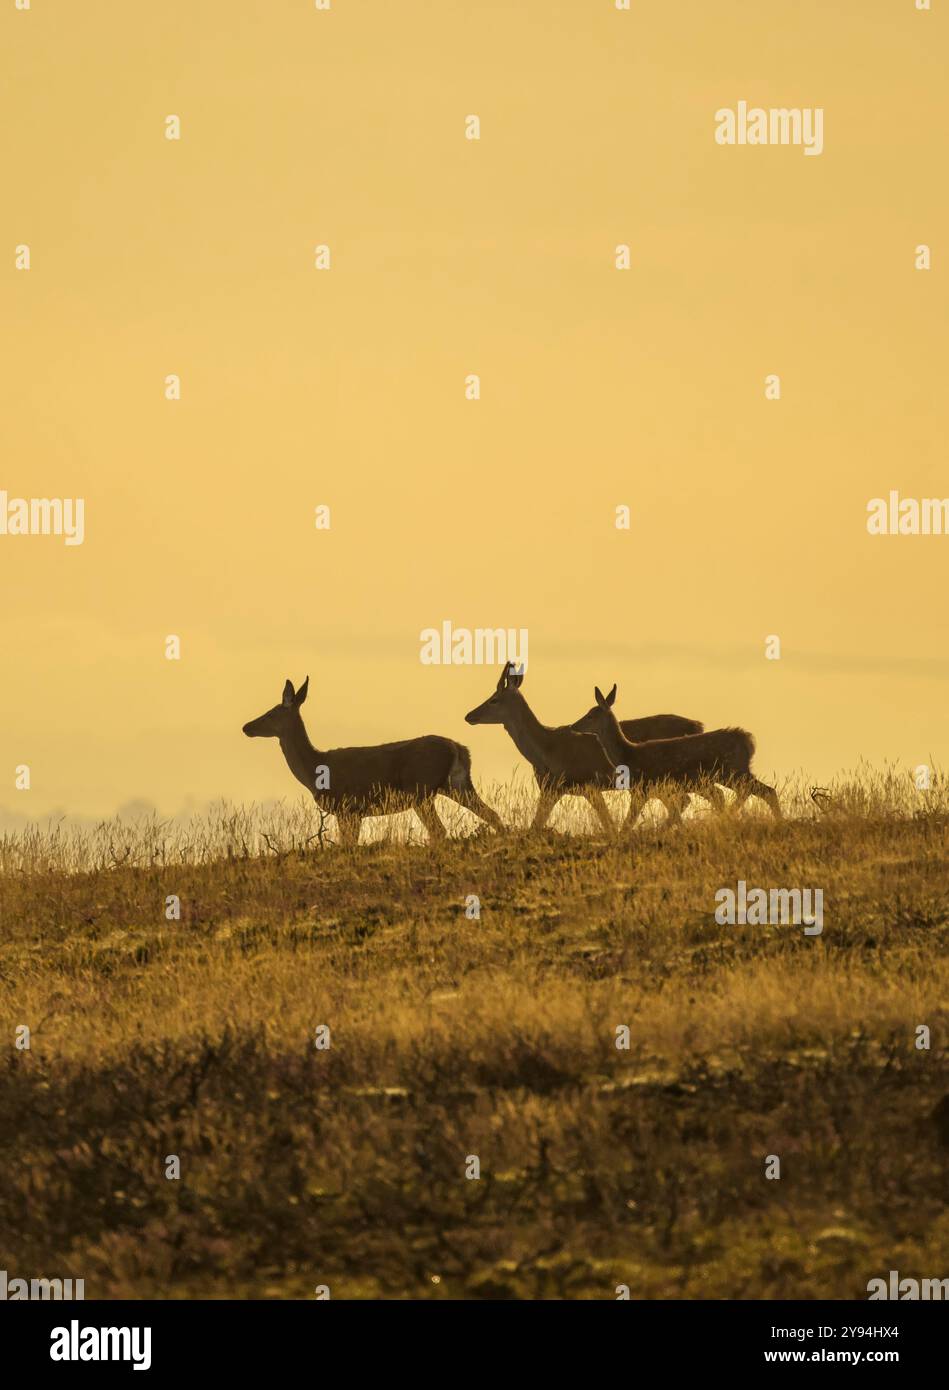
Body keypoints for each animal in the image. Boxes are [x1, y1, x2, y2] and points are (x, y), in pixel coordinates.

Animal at [243, 678, 505, 839]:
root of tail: (458, 748)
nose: (247, 727)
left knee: (439, 830)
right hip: (457, 784)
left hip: (422, 790)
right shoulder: (351, 812)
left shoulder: (348, 808)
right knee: (492, 815)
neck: (313, 769)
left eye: (270, 713)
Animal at [572, 686, 778, 822]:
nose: (573, 726)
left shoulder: (642, 788)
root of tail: (748, 740)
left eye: (590, 715)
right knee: (755, 792)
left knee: (766, 791)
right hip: (729, 774)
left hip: (732, 771)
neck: (628, 755)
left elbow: (629, 822)